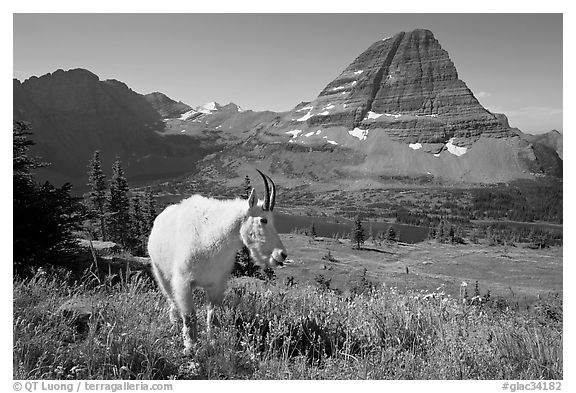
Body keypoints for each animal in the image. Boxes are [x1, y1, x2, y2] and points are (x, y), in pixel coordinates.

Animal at [146, 168, 286, 352]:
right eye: (263, 220)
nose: (281, 254)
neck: (214, 240)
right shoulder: (183, 282)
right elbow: (190, 316)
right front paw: (190, 346)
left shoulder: (217, 284)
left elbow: (212, 316)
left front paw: (213, 342)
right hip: (160, 272)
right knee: (171, 298)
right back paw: (174, 323)